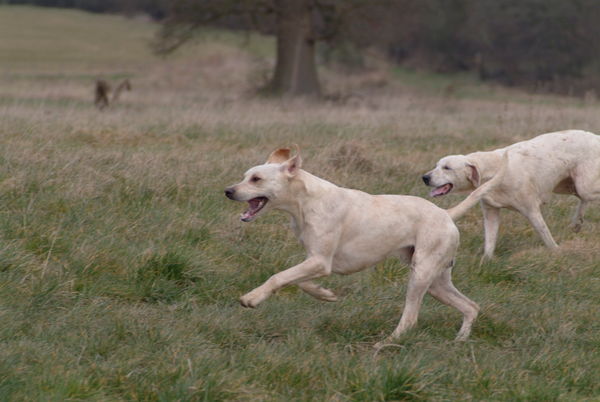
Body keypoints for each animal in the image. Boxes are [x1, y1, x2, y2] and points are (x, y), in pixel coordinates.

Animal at [224, 146, 502, 348]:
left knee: (410, 319)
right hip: (437, 283)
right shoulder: (316, 259)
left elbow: (278, 277)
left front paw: (252, 298)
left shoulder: (319, 262)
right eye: (245, 176)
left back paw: (384, 344)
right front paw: (324, 294)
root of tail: (446, 215)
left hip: (421, 276)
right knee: (471, 307)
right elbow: (300, 282)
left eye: (256, 179)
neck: (305, 201)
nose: (228, 191)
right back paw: (460, 340)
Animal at [422, 130, 600, 260]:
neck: (496, 168)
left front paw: (556, 252)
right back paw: (577, 222)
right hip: (568, 186)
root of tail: (596, 137)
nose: (425, 177)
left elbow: (545, 234)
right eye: (437, 165)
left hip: (584, 185)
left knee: (587, 195)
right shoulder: (491, 213)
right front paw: (486, 261)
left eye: (447, 168)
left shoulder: (531, 210)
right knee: (582, 199)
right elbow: (490, 240)